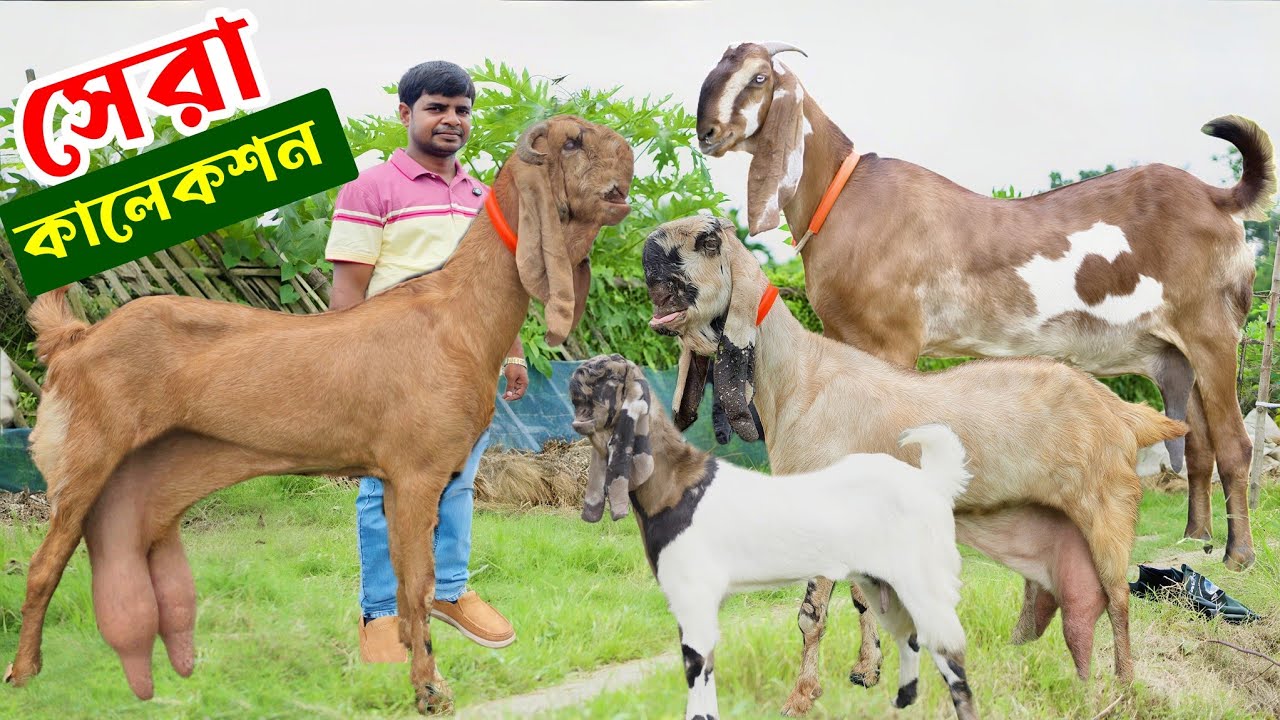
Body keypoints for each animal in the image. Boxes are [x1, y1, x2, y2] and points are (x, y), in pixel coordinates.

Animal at [5, 115, 634, 715]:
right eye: (574, 141)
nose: (628, 148)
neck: (459, 314)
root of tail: (77, 339)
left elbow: (409, 588)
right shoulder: (416, 477)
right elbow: (417, 586)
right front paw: (429, 688)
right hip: (86, 462)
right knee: (44, 566)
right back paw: (25, 673)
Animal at [643, 215, 1187, 716]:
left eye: (708, 239)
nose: (648, 249)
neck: (799, 378)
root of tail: (1123, 412)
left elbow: (811, 613)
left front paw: (801, 696)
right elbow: (862, 597)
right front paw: (866, 671)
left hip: (1107, 506)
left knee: (1117, 596)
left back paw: (1125, 687)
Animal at [696, 41, 1275, 575]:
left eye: (759, 77)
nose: (707, 132)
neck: (842, 198)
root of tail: (1217, 198)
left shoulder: (891, 339)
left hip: (1212, 331)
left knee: (1233, 443)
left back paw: (1239, 555)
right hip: (1177, 350)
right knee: (1197, 442)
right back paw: (1195, 539)